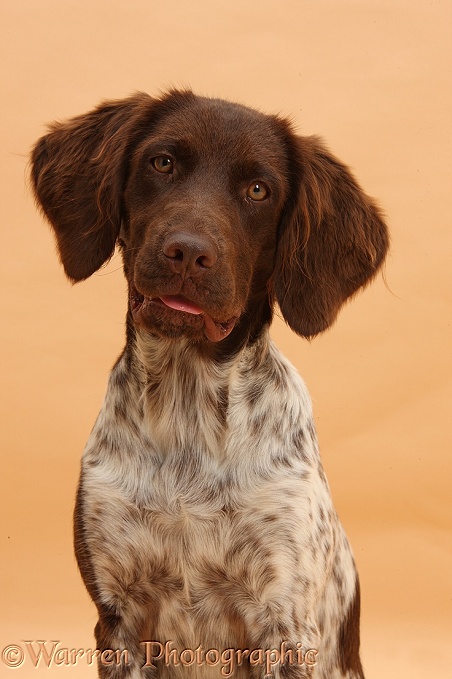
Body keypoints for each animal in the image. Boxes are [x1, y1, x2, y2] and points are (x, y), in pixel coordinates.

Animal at [30, 90, 388, 679]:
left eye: (259, 190)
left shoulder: (284, 626)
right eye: (162, 163)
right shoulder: (119, 620)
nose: (188, 253)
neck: (187, 413)